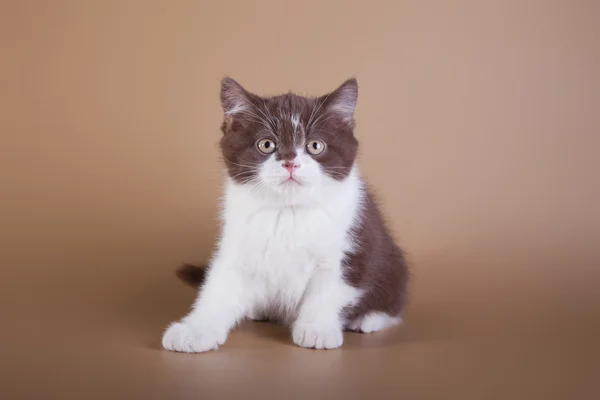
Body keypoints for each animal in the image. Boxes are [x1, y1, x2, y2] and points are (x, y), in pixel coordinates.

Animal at [162, 76, 410, 352]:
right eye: (266, 144)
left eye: (315, 146)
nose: (291, 162)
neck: (288, 210)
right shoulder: (237, 242)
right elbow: (219, 287)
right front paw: (194, 330)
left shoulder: (353, 241)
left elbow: (330, 287)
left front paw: (317, 329)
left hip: (392, 263)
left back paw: (369, 319)